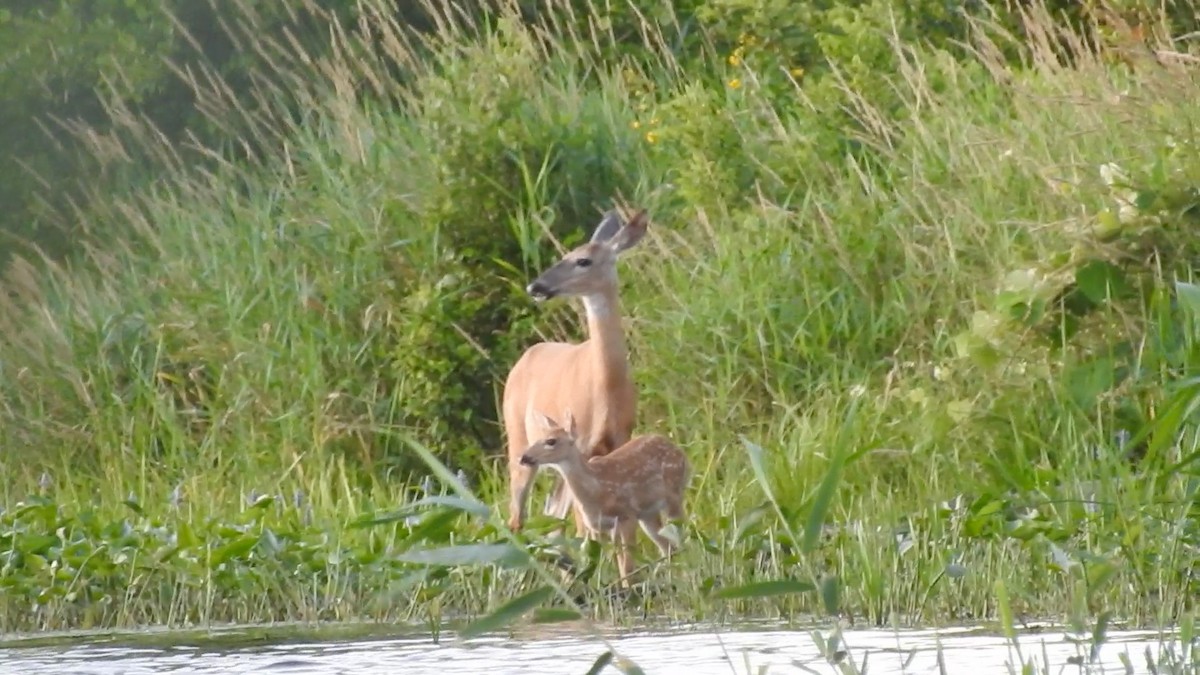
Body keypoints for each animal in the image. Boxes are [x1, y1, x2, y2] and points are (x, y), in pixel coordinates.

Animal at [501, 207, 649, 533]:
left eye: (583, 261)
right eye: (565, 254)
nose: (536, 287)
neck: (605, 387)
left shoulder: (618, 439)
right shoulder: (579, 442)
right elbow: (583, 518)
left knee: (553, 508)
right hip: (517, 437)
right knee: (516, 514)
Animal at [519, 410, 690, 587]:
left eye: (551, 441)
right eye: (537, 438)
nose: (525, 457)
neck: (596, 489)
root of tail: (680, 452)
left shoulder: (627, 515)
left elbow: (627, 565)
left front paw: (628, 588)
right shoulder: (596, 527)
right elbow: (599, 561)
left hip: (674, 495)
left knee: (682, 538)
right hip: (648, 514)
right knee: (668, 547)